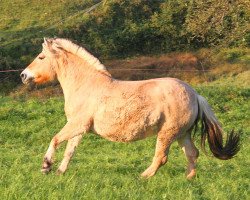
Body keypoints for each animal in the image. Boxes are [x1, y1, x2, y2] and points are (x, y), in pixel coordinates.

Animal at [20, 38, 239, 179]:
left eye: (41, 57)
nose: (23, 75)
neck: (86, 85)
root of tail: (195, 95)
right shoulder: (79, 128)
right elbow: (69, 151)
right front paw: (59, 172)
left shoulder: (77, 124)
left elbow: (55, 139)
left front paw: (46, 166)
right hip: (181, 133)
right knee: (192, 154)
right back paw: (188, 180)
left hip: (167, 133)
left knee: (161, 157)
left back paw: (143, 176)